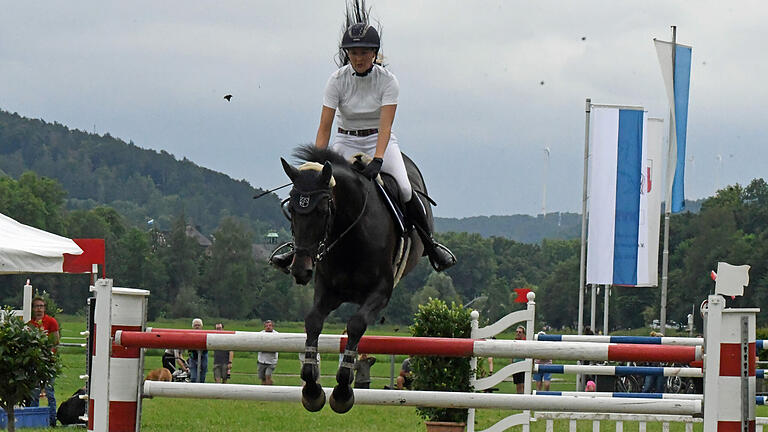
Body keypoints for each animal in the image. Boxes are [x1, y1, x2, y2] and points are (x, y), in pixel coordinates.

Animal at [280, 144, 432, 412]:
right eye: (291, 211)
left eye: (322, 210)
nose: (300, 269)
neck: (350, 232)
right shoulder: (328, 291)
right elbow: (313, 321)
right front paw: (312, 389)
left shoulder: (380, 292)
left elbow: (356, 325)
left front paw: (342, 391)